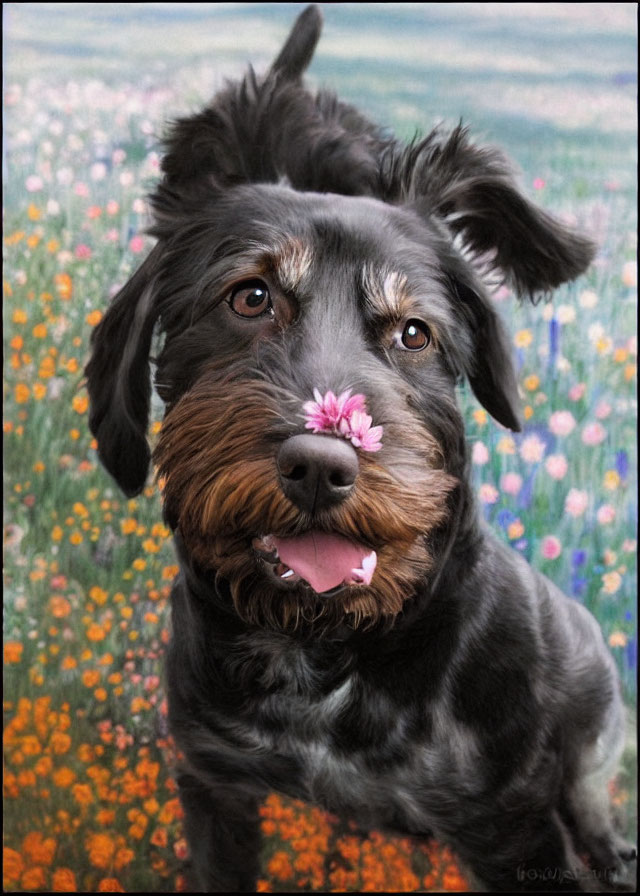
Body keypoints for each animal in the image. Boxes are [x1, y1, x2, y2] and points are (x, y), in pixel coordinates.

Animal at [85, 5, 636, 888]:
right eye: (249, 296)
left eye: (414, 332)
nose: (323, 464)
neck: (321, 652)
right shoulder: (214, 782)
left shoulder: (512, 825)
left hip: (595, 717)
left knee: (589, 792)